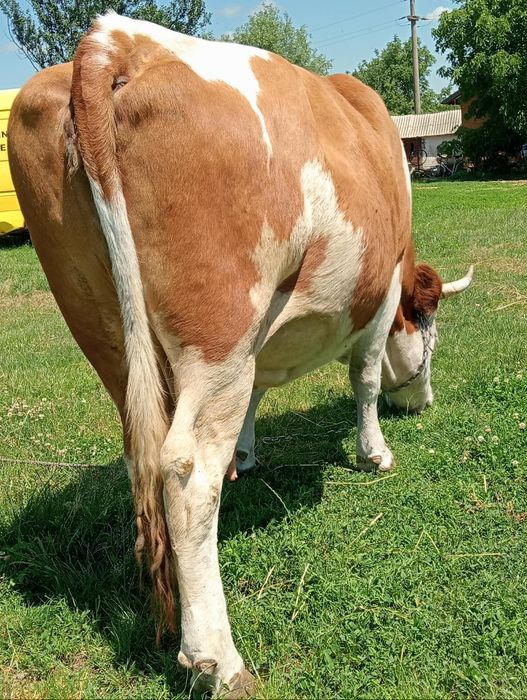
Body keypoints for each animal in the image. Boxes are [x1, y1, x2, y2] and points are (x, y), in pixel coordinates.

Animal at [8, 12, 473, 697]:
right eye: (430, 320)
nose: (425, 400)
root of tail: (115, 40)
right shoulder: (380, 289)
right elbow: (363, 379)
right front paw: (375, 452)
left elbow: (253, 396)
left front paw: (248, 454)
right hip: (218, 329)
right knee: (184, 473)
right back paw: (217, 657)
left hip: (105, 328)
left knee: (142, 452)